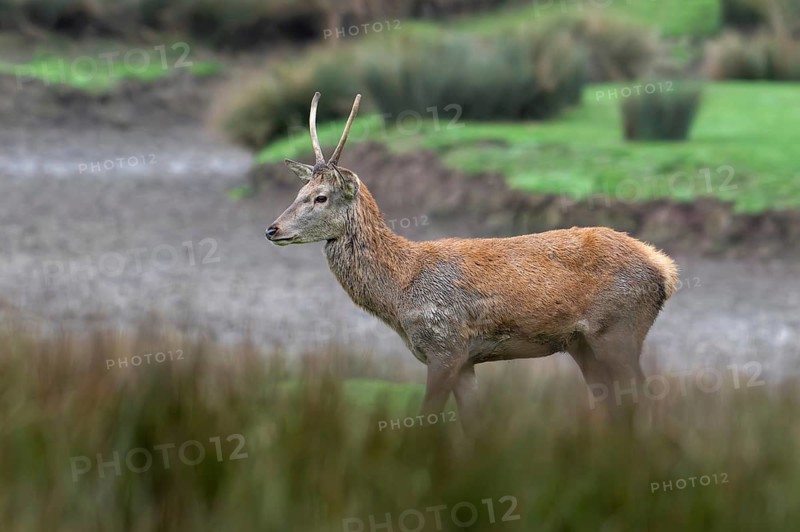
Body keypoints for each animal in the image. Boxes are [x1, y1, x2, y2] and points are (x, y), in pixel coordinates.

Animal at [265, 92, 679, 432]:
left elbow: (426, 419)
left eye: (320, 197)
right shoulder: (464, 359)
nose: (272, 229)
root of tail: (665, 270)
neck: (400, 293)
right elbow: (473, 426)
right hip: (583, 343)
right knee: (615, 406)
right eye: (299, 192)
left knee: (646, 401)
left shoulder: (446, 346)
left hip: (619, 328)